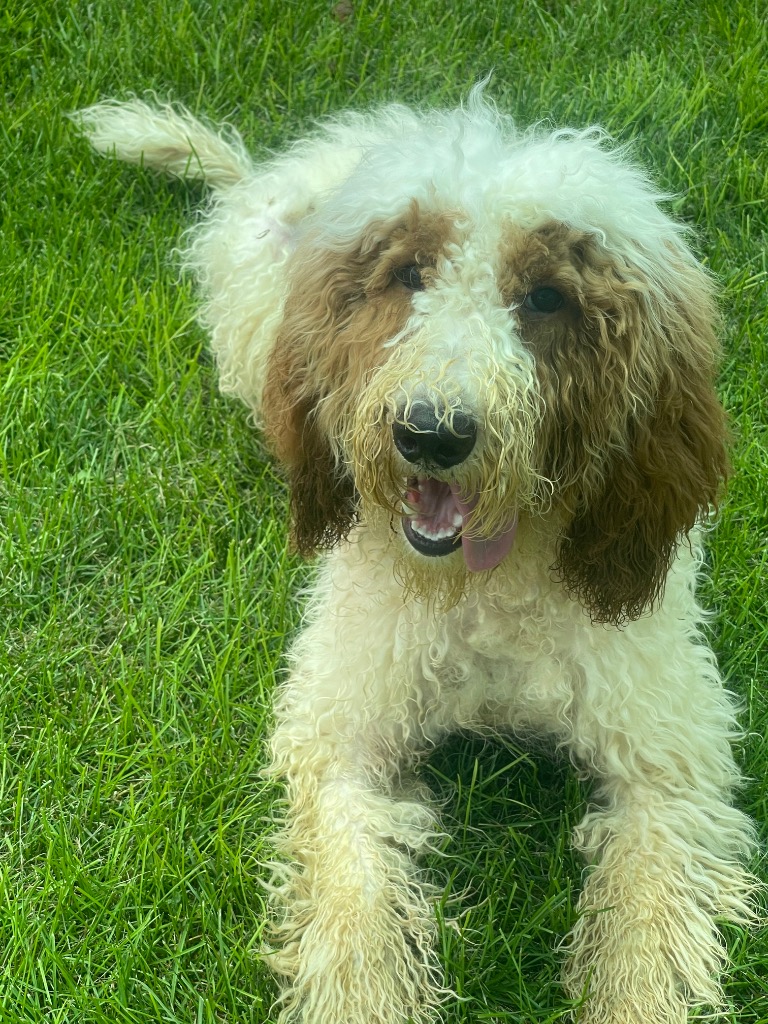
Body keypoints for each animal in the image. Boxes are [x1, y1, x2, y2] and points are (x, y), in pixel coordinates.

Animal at [74, 89, 758, 1024]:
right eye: (407, 275)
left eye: (547, 297)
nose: (433, 433)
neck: (486, 584)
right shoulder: (343, 738)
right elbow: (358, 920)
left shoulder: (667, 761)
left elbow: (646, 945)